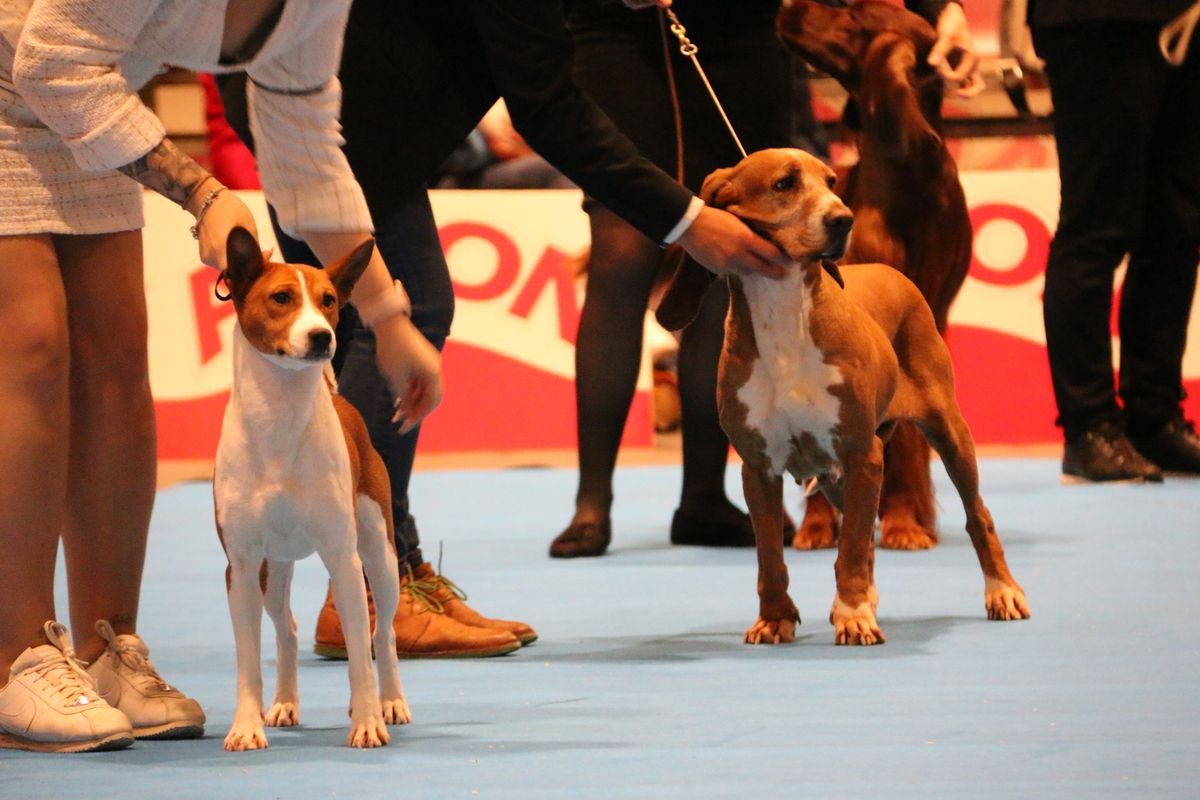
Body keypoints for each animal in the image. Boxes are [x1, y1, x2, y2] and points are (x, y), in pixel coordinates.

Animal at [211, 226, 408, 753]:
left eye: (329, 301)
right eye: (281, 298)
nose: (322, 336)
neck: (280, 421)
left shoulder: (343, 558)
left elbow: (360, 654)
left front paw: (367, 722)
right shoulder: (241, 565)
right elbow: (246, 662)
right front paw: (246, 726)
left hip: (378, 553)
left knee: (382, 634)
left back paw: (390, 701)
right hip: (272, 570)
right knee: (288, 630)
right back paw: (283, 703)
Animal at [657, 149, 1032, 647]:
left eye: (832, 181)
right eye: (784, 183)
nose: (842, 220)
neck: (783, 313)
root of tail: (892, 271)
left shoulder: (862, 453)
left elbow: (851, 544)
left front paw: (853, 615)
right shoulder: (759, 468)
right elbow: (771, 556)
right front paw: (774, 618)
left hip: (946, 432)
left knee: (977, 516)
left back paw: (1001, 592)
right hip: (835, 478)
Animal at [777, 0, 974, 551]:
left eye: (848, 9)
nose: (785, 6)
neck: (908, 178)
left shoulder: (918, 325)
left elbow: (904, 436)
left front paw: (905, 519)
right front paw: (823, 522)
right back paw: (817, 523)